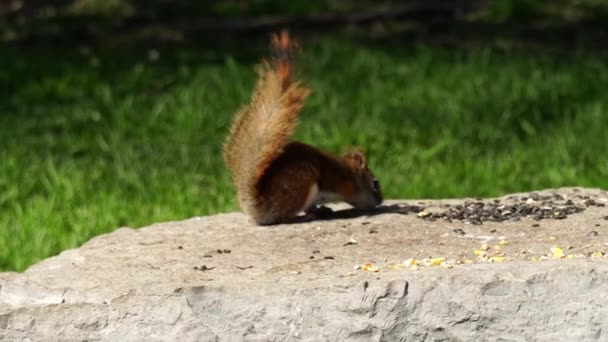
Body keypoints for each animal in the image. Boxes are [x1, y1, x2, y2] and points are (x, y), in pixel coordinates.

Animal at [223, 31, 382, 224]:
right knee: (286, 216)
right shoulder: (342, 183)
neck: (352, 175)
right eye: (375, 183)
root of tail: (257, 209)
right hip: (303, 185)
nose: (381, 201)